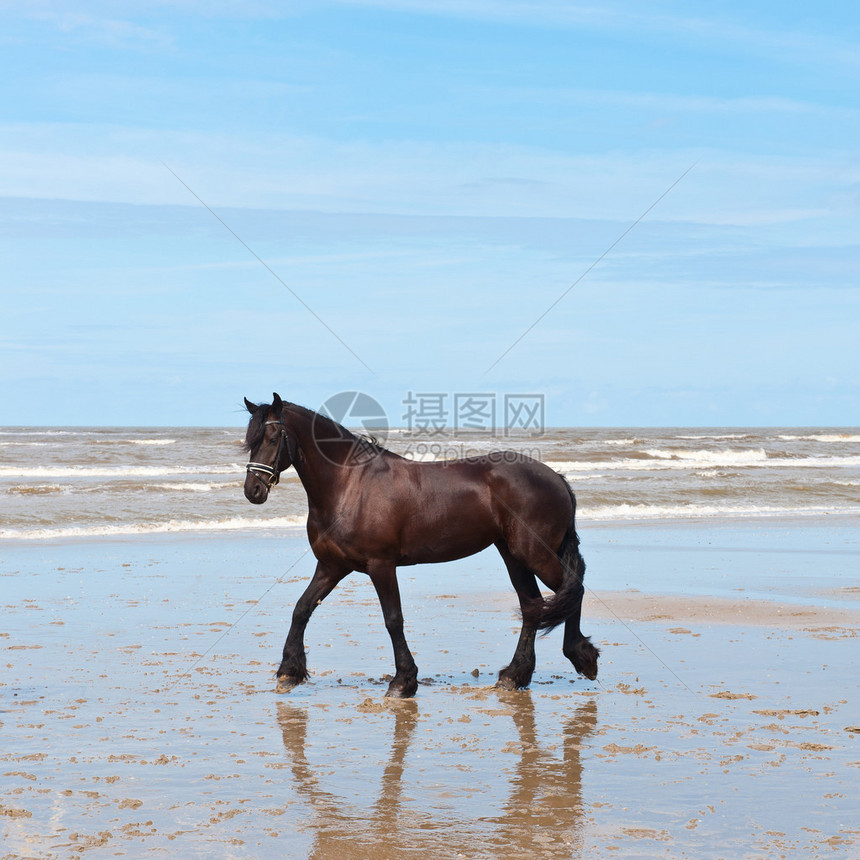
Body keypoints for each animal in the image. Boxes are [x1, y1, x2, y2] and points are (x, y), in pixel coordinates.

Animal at [242, 394, 596, 696]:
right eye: (249, 441)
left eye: (272, 438)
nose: (252, 491)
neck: (350, 485)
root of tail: (556, 477)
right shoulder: (332, 566)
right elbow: (301, 609)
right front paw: (288, 672)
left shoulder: (380, 565)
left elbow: (393, 619)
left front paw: (403, 682)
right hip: (514, 556)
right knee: (533, 607)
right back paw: (515, 675)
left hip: (533, 554)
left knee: (572, 589)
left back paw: (581, 656)